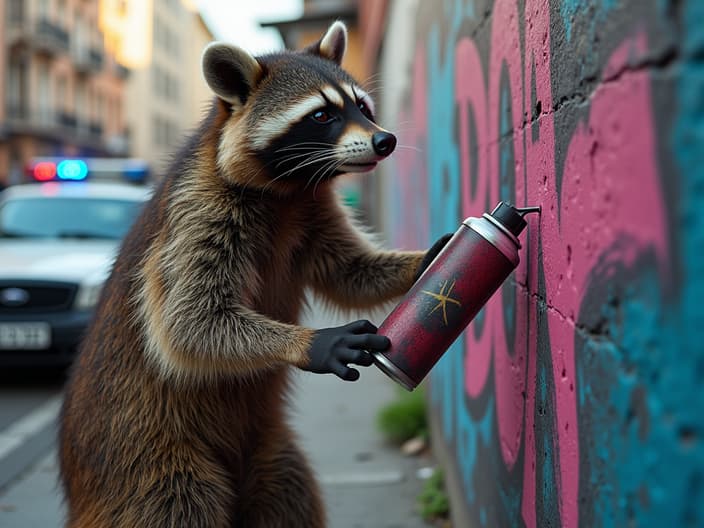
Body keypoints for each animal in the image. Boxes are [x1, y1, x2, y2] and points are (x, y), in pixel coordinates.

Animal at [57, 21, 448, 528]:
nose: (386, 141)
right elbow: (188, 322)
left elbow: (347, 271)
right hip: (145, 460)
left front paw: (429, 260)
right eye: (322, 115)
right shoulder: (196, 217)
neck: (290, 188)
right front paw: (312, 341)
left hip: (268, 451)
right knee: (178, 504)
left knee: (287, 492)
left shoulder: (312, 210)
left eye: (362, 107)